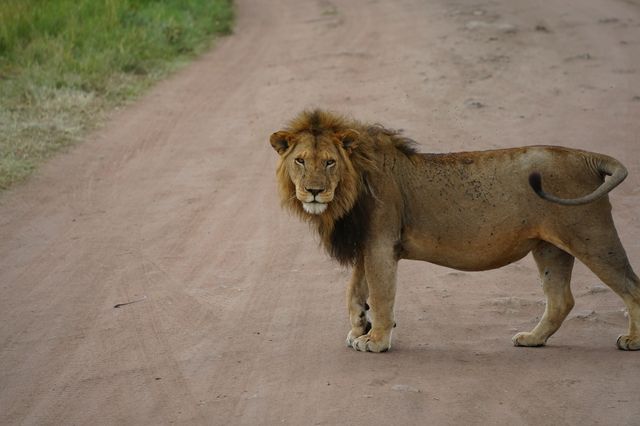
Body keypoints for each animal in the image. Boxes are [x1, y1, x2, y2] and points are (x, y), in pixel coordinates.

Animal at [270, 110, 640, 352]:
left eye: (329, 162)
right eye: (300, 160)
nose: (314, 191)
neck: (350, 185)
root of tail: (586, 156)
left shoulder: (381, 244)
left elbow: (381, 294)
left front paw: (375, 341)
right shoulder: (367, 243)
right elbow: (355, 291)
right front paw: (360, 326)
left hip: (592, 236)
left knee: (631, 287)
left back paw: (632, 341)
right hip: (549, 247)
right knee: (561, 299)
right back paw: (533, 339)